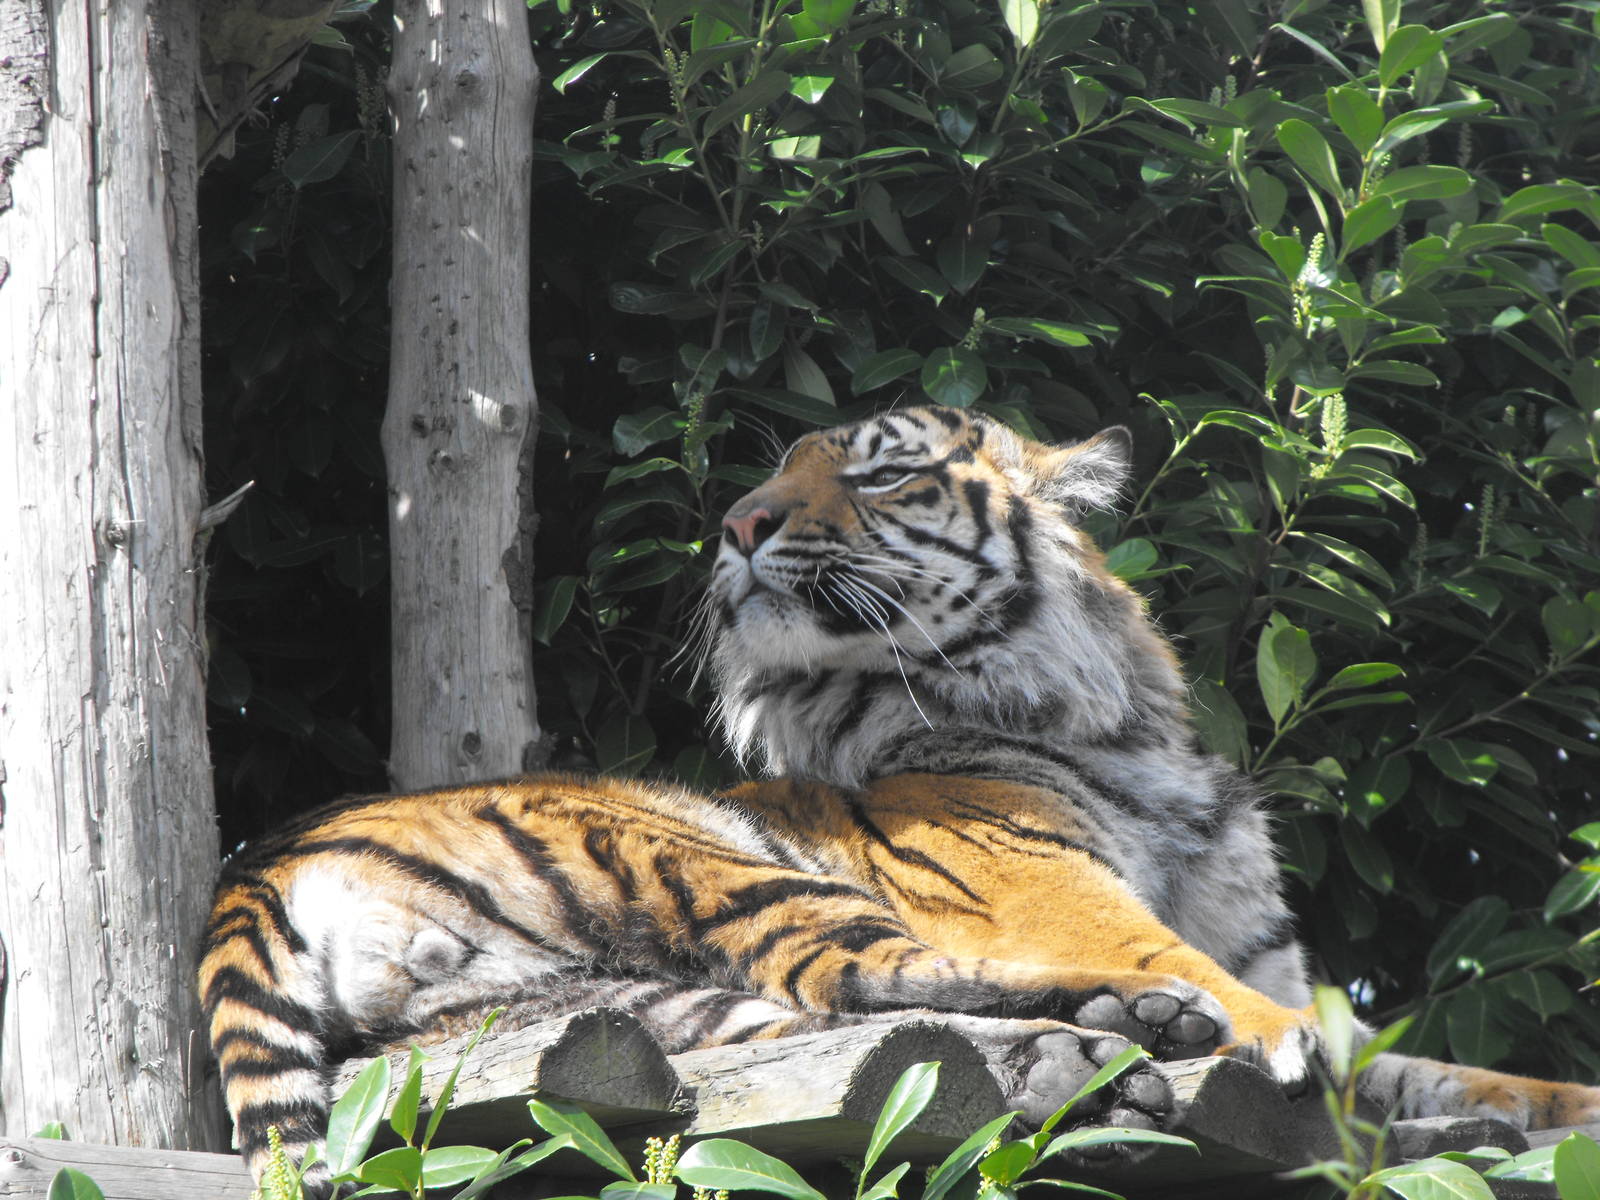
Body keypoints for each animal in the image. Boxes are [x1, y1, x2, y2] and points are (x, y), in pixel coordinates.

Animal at [199, 405, 1600, 1195]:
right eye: (775, 478)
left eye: (879, 477)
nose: (736, 522)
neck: (1119, 724)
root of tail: (256, 867)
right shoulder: (1048, 889)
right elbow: (1224, 981)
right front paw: (1260, 1035)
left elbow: (1461, 1076)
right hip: (704, 854)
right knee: (872, 976)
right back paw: (1137, 1023)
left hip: (603, 1006)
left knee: (840, 1020)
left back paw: (1093, 1055)